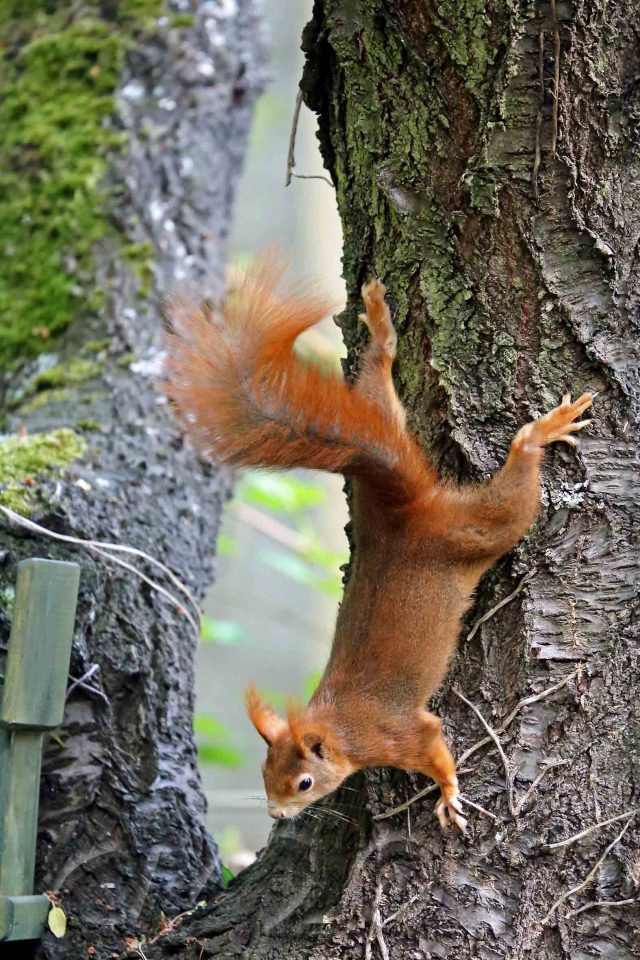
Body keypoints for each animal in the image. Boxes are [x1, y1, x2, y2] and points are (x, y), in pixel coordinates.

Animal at [164, 258, 594, 831]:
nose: (276, 814)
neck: (337, 726)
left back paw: (540, 433)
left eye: (304, 782)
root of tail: (402, 513)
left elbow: (434, 749)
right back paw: (382, 327)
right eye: (263, 772)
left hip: (474, 532)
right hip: (382, 425)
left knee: (512, 494)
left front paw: (449, 795)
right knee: (376, 383)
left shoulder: (397, 735)